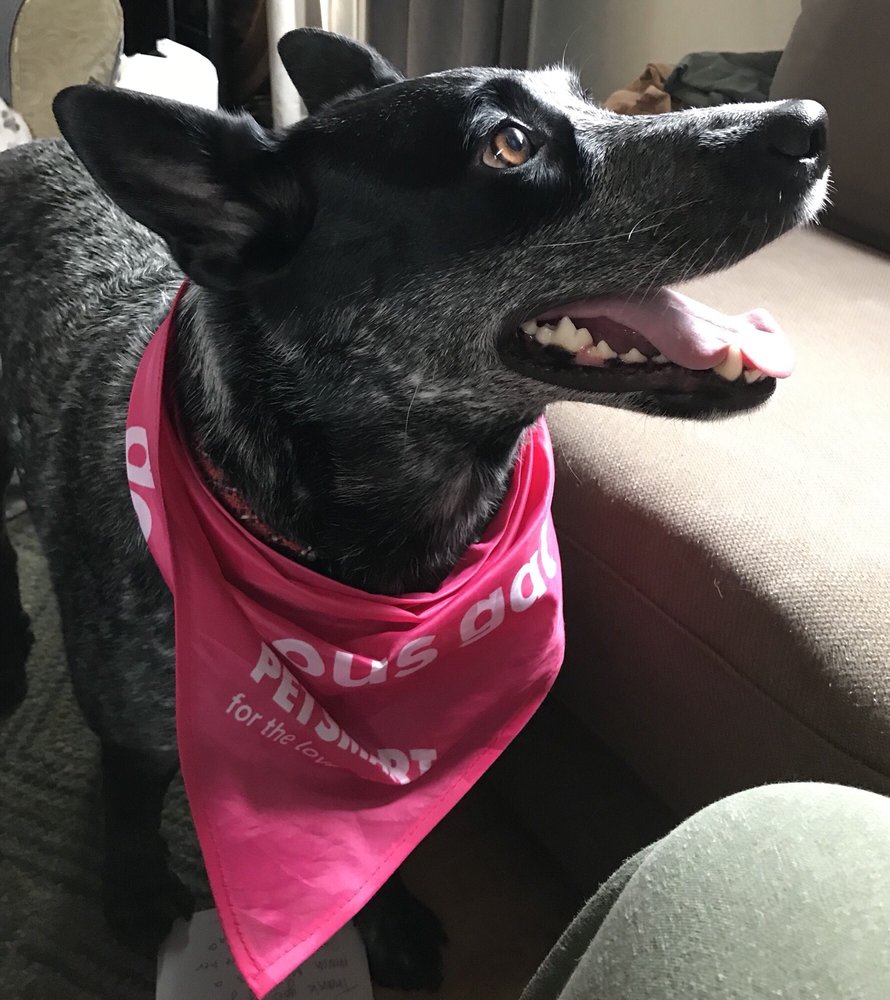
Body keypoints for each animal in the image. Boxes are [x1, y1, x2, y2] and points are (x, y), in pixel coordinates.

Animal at [0, 27, 828, 992]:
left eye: (584, 99)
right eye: (508, 144)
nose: (811, 123)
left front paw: (386, 920)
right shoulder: (131, 723)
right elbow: (129, 795)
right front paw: (134, 888)